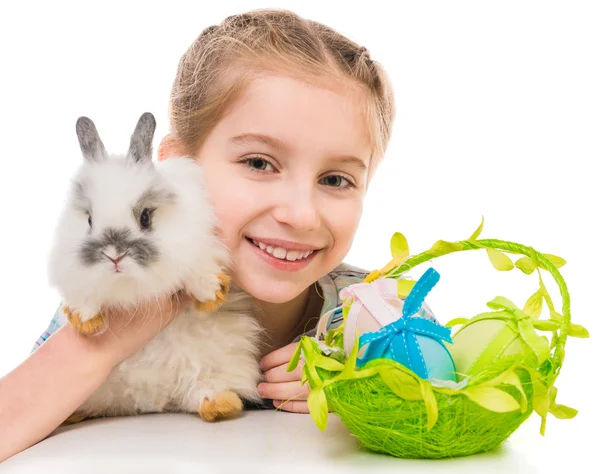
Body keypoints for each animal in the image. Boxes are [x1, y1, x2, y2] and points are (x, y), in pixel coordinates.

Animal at [47, 114, 262, 422]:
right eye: (88, 220)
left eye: (146, 217)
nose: (115, 255)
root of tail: (149, 400)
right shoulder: (71, 273)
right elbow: (83, 293)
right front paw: (85, 319)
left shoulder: (196, 242)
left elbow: (198, 268)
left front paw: (211, 294)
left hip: (217, 366)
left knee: (203, 389)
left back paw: (219, 404)